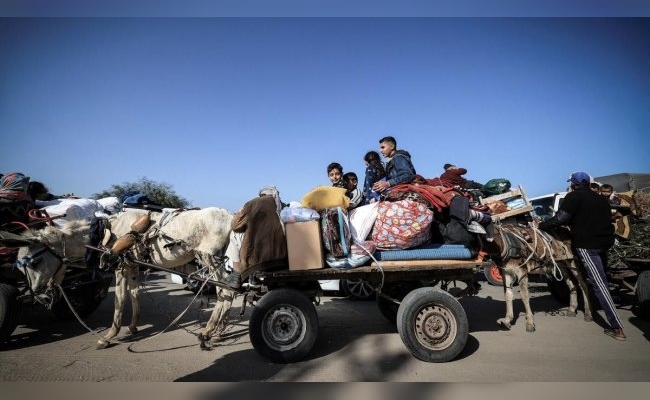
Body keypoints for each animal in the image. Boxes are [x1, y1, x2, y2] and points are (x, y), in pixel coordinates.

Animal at [97, 208, 235, 348]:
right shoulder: (132, 265)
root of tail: (229, 216)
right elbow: (134, 293)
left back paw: (209, 330)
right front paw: (132, 326)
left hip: (210, 258)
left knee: (226, 290)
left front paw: (109, 335)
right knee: (225, 291)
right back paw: (218, 333)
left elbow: (119, 298)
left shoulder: (121, 266)